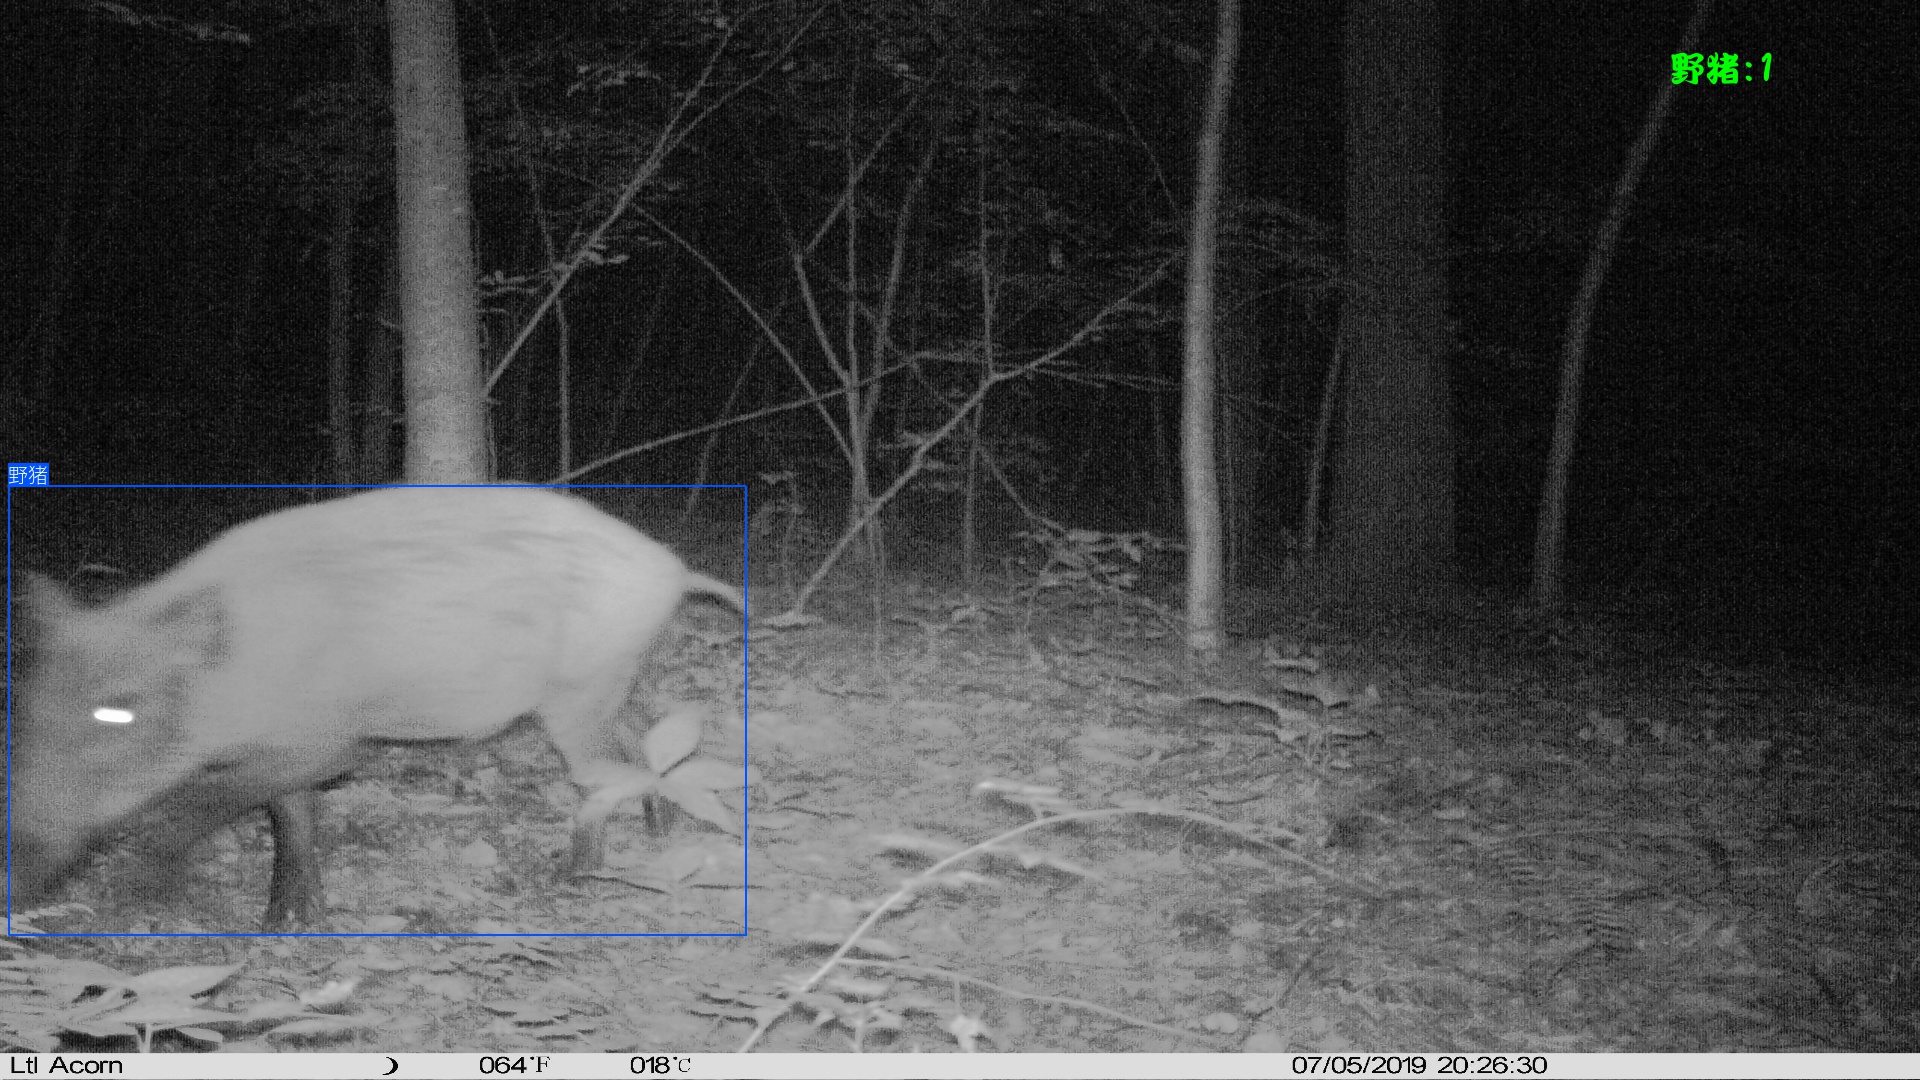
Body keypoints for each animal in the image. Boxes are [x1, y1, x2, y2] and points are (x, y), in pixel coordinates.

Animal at [8, 485, 743, 929]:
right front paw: (287, 922)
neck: (240, 664)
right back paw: (654, 837)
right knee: (639, 742)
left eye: (117, 713)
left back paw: (569, 878)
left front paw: (139, 897)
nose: (13, 873)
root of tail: (674, 569)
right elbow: (291, 818)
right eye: (31, 705)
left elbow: (210, 803)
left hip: (579, 690)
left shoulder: (328, 742)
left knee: (601, 773)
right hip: (607, 681)